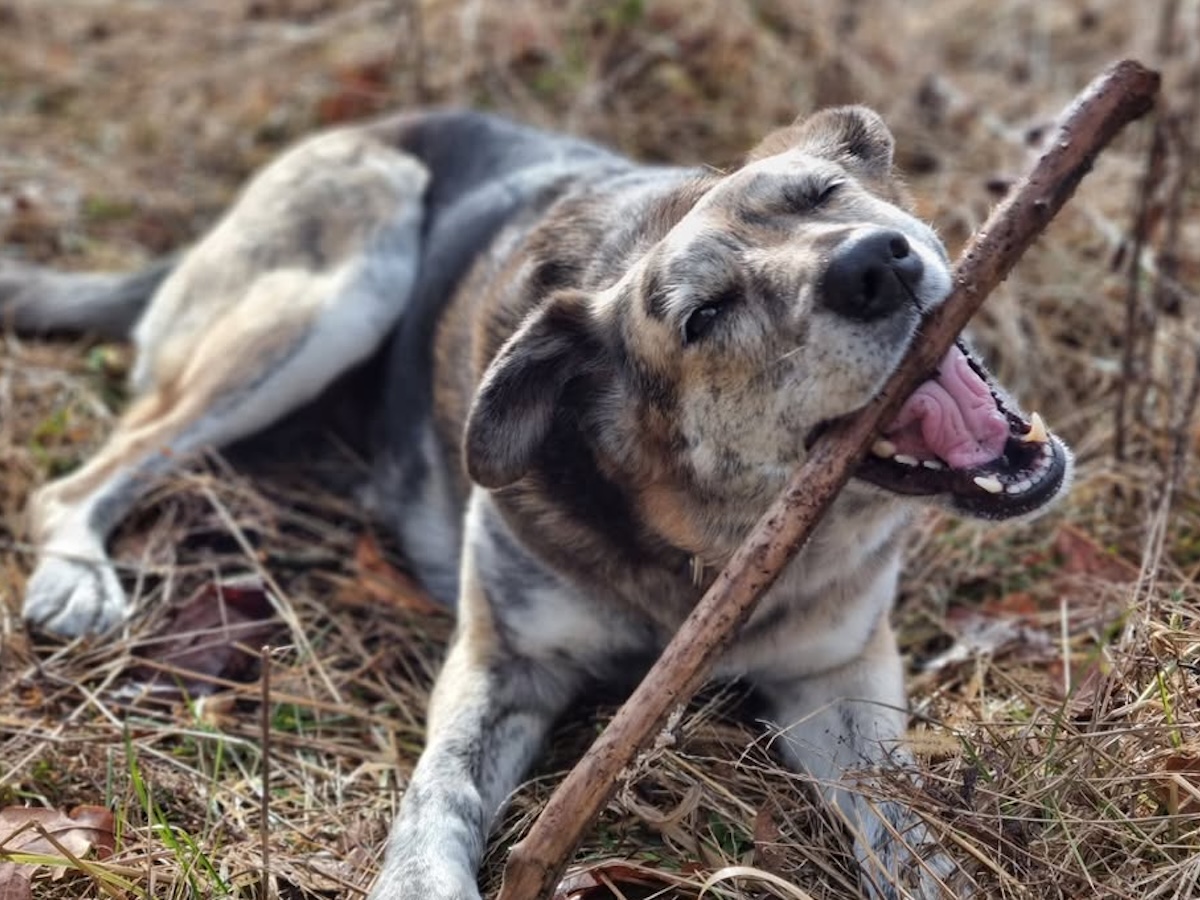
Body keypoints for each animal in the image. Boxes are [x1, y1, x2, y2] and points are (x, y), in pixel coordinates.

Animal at [2, 107, 1072, 899]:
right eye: (705, 315)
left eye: (822, 194)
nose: (873, 263)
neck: (701, 543)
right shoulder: (501, 660)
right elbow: (437, 795)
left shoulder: (838, 676)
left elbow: (910, 829)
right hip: (338, 283)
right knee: (90, 476)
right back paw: (78, 575)